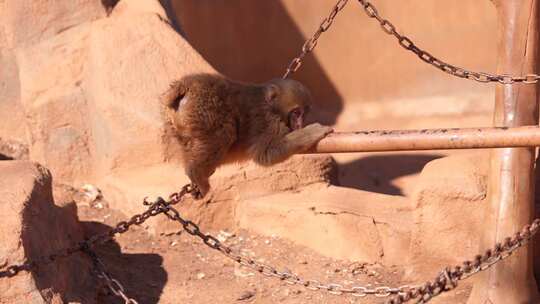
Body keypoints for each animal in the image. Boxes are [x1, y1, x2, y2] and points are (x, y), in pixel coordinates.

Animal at [161, 72, 334, 198]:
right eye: (297, 113)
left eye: (304, 113)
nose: (299, 125)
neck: (269, 104)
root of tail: (185, 86)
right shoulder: (265, 120)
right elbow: (264, 153)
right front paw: (312, 132)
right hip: (203, 108)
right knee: (224, 134)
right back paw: (196, 173)